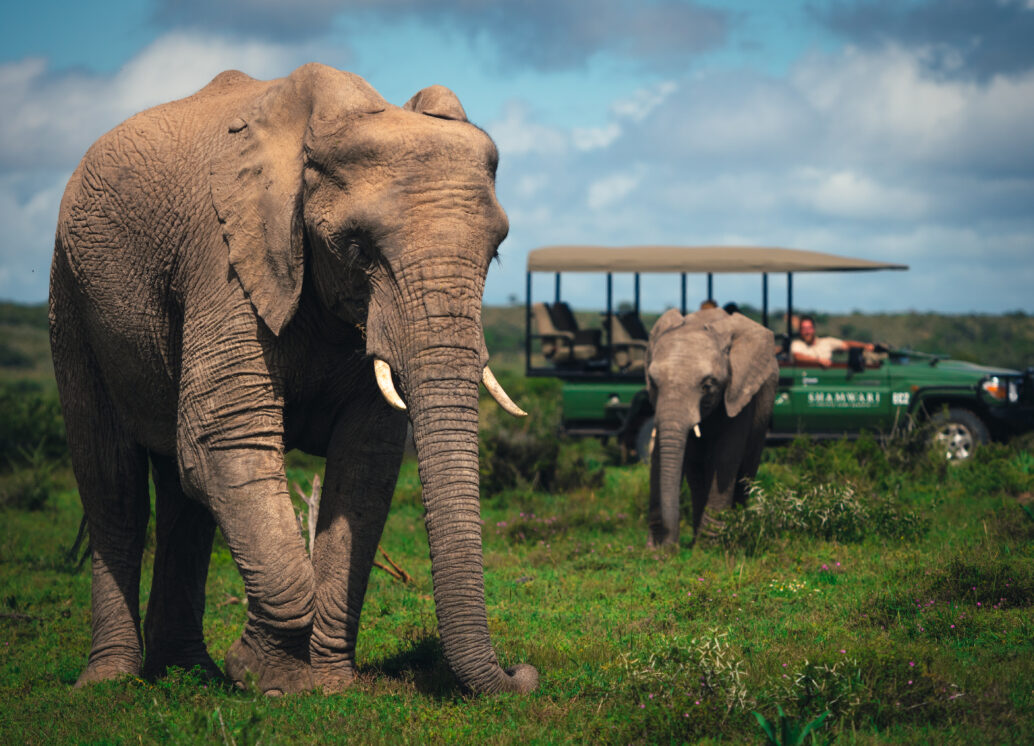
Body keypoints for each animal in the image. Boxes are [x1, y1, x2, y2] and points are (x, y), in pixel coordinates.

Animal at [49, 63, 538, 696]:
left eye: (496, 252)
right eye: (357, 246)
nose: (522, 673)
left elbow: (365, 463)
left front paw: (327, 686)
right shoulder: (225, 257)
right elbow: (224, 439)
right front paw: (267, 678)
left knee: (183, 502)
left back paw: (187, 671)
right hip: (71, 294)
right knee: (115, 486)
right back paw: (109, 681)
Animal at [644, 308, 778, 546]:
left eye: (708, 385)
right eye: (653, 382)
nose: (670, 545)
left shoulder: (739, 391)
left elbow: (725, 458)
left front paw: (710, 548)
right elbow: (661, 457)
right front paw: (657, 550)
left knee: (746, 472)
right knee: (696, 472)